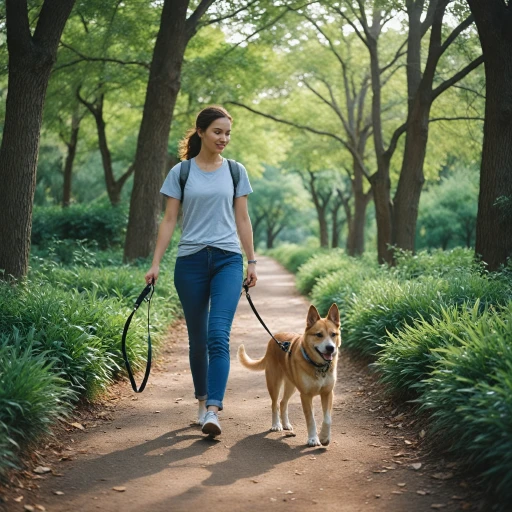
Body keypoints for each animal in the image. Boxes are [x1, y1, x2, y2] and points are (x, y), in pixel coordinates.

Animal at [239, 304, 340, 444]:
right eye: (319, 334)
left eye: (333, 334)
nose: (330, 348)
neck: (317, 366)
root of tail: (274, 339)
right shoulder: (305, 396)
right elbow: (311, 420)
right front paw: (313, 439)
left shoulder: (328, 393)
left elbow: (327, 419)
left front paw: (324, 437)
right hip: (274, 383)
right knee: (275, 404)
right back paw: (276, 425)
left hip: (291, 386)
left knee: (283, 403)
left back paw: (286, 424)